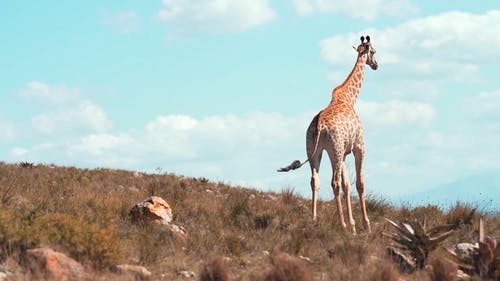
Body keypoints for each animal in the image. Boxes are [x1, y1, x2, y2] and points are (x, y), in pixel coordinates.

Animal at [278, 34, 378, 232]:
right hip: (334, 150)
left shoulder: (344, 153)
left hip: (315, 149)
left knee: (314, 180)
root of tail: (319, 125)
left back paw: (314, 220)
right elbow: (359, 183)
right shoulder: (359, 147)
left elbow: (347, 185)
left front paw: (353, 225)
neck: (349, 98)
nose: (376, 65)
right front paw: (365, 225)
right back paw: (342, 225)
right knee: (334, 182)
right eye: (374, 51)